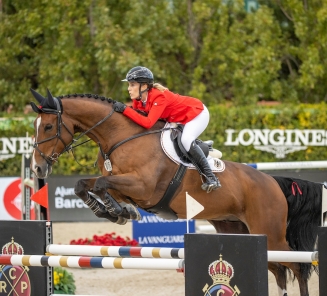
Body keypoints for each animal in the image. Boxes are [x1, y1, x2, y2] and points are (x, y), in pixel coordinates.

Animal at [30, 89, 322, 294]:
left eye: (48, 126)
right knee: (278, 269)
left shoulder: (143, 187)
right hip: (239, 229)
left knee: (298, 265)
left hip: (270, 232)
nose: (37, 168)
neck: (118, 137)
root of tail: (272, 181)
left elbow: (102, 184)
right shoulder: (123, 183)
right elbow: (85, 185)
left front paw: (117, 211)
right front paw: (118, 211)